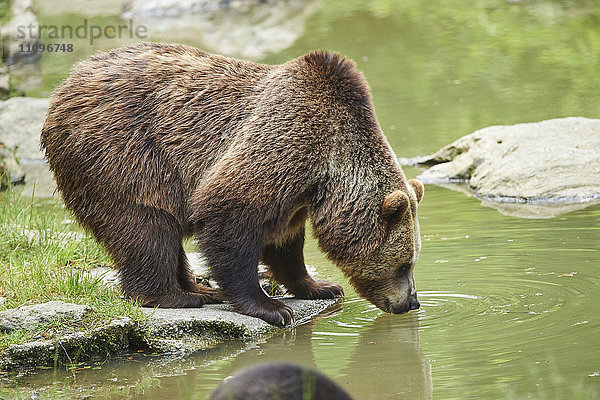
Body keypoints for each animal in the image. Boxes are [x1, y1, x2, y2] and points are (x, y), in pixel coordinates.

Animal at [39, 42, 424, 326]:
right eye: (405, 264)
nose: (412, 302)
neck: (326, 172)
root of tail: (65, 85)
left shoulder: (297, 191)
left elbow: (286, 242)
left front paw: (321, 286)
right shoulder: (283, 142)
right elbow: (230, 216)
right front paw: (272, 307)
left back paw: (199, 289)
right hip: (123, 153)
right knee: (145, 225)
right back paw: (176, 295)